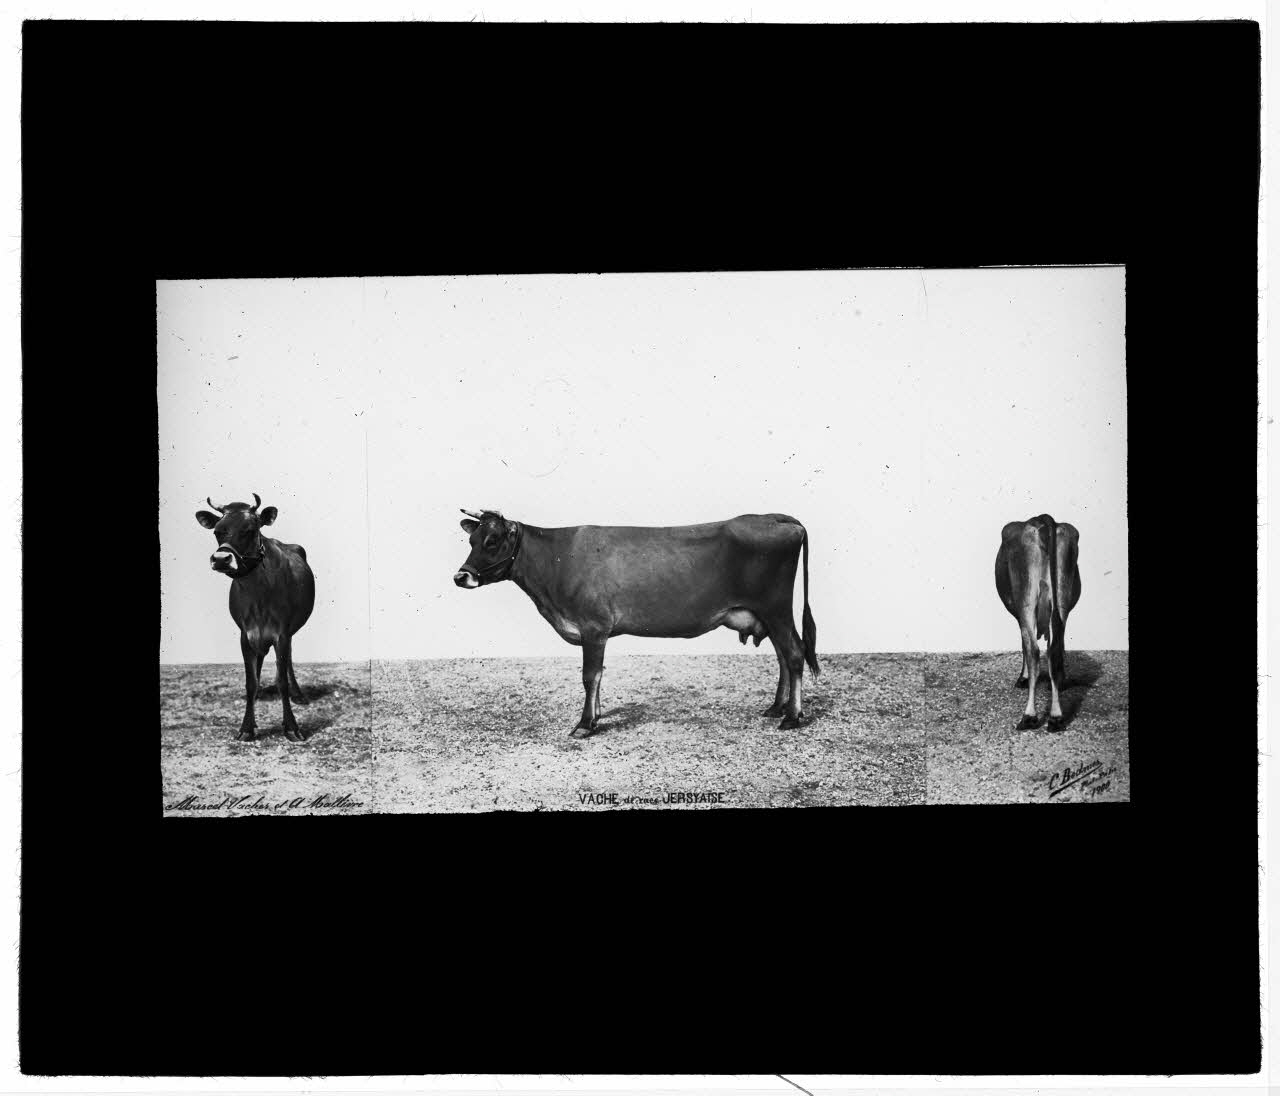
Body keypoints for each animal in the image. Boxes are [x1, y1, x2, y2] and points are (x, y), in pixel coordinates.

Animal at [195, 494, 316, 742]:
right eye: (217, 531)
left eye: (250, 530)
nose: (221, 559)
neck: (259, 595)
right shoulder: (245, 634)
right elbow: (250, 681)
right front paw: (247, 727)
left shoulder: (282, 633)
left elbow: (281, 680)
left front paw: (291, 727)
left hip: (290, 630)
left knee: (288, 660)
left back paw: (298, 694)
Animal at [453, 510, 819, 737]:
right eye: (471, 541)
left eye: (492, 541)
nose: (460, 577)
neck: (556, 560)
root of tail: (776, 517)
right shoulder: (595, 632)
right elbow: (598, 676)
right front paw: (597, 715)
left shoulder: (593, 626)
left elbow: (589, 675)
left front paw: (585, 724)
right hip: (768, 614)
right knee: (783, 655)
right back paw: (776, 707)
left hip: (776, 608)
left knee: (794, 653)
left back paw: (792, 717)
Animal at [994, 514, 1082, 730]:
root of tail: (1041, 519)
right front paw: (1062, 680)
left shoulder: (1019, 614)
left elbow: (1023, 646)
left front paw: (1023, 677)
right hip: (1061, 596)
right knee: (1055, 649)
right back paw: (1056, 716)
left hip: (1025, 597)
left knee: (1033, 651)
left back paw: (1029, 715)